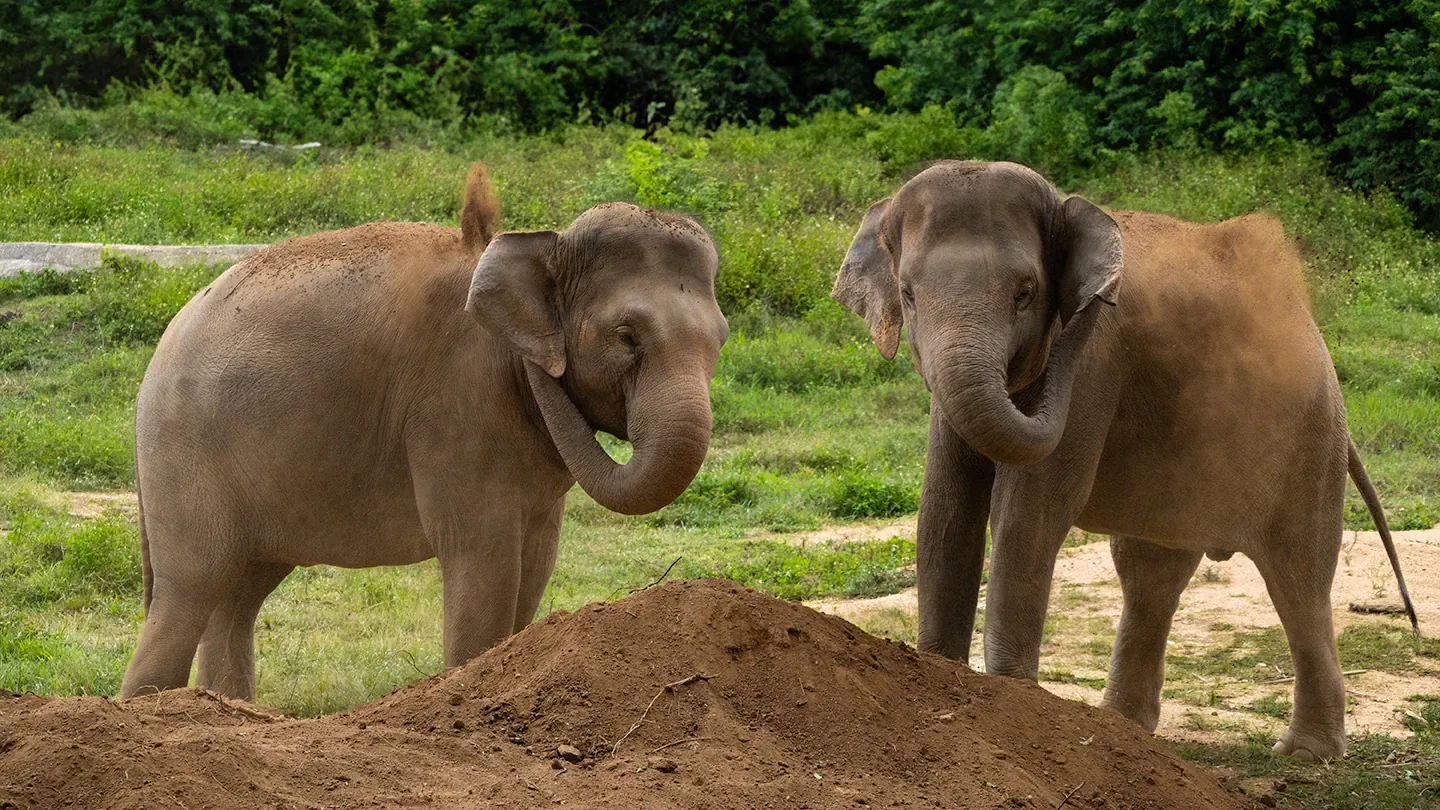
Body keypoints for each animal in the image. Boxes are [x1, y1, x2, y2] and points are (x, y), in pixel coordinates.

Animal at [119, 164, 728, 701]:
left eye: (720, 339)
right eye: (626, 336)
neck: (539, 247)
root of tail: (160, 351)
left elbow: (535, 563)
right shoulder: (456, 404)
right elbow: (482, 556)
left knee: (237, 595)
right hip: (183, 451)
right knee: (193, 588)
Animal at [832, 160, 1417, 761]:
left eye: (1026, 293)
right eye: (907, 295)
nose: (1099, 304)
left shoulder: (1095, 367)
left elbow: (1030, 509)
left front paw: (1011, 694)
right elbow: (946, 506)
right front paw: (937, 675)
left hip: (1309, 439)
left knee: (1299, 576)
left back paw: (1304, 753)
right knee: (1151, 574)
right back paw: (1123, 724)